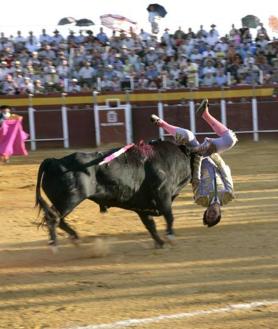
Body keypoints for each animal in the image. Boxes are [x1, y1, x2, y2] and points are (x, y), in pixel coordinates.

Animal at [35, 140, 194, 247]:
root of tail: (54, 161)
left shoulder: (141, 206)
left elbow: (150, 225)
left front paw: (160, 242)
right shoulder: (163, 194)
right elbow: (169, 216)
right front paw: (170, 238)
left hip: (62, 201)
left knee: (57, 218)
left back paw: (75, 238)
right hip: (70, 199)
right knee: (53, 217)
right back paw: (55, 244)